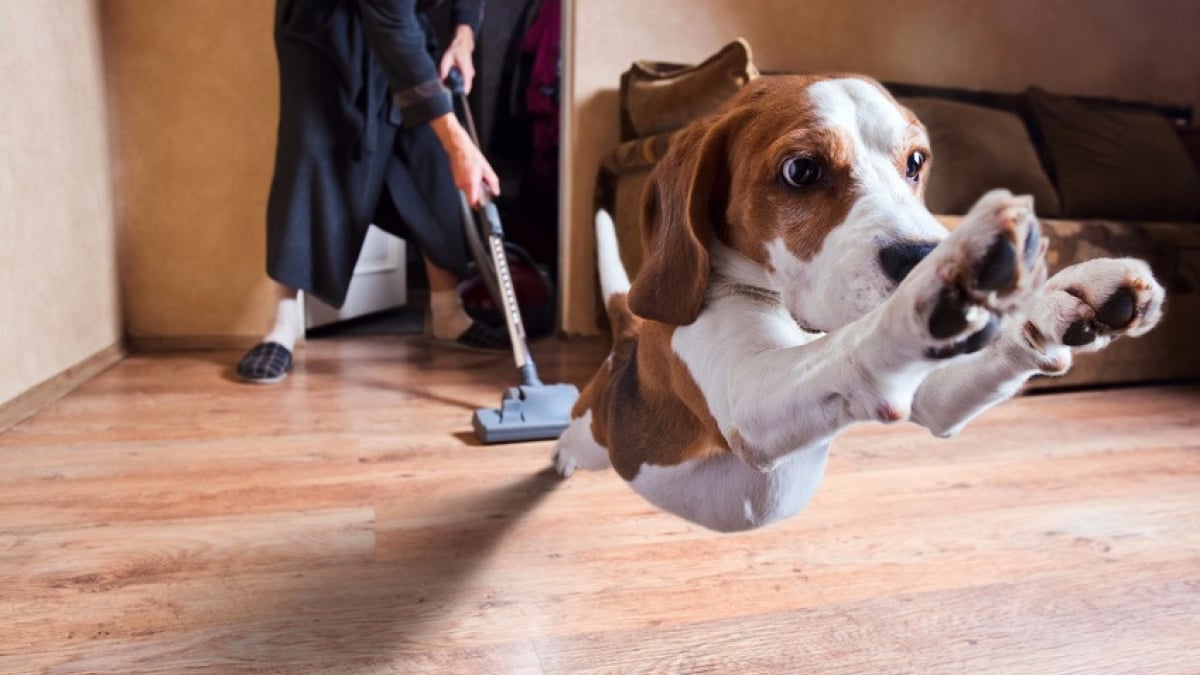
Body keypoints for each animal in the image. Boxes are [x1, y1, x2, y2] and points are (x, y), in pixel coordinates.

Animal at [556, 74, 1166, 530]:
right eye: (801, 170)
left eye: (916, 162)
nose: (924, 253)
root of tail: (626, 343)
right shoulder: (747, 398)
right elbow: (859, 340)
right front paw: (940, 287)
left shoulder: (929, 395)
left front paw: (1063, 297)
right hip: (596, 433)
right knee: (574, 432)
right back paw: (559, 454)